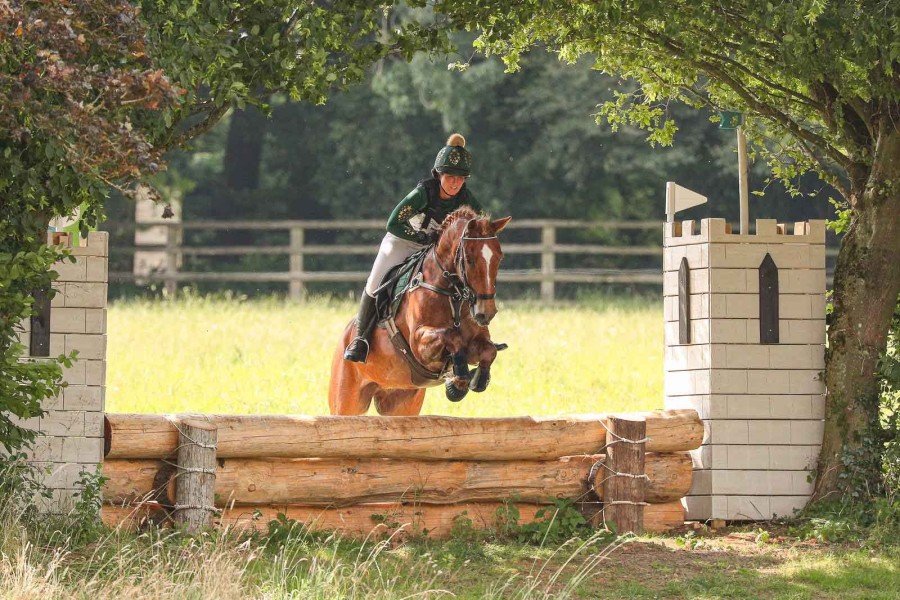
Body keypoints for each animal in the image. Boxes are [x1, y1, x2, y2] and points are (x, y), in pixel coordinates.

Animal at [330, 209, 512, 414]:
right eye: (470, 260)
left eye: (499, 258)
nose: (485, 313)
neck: (452, 295)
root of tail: (345, 336)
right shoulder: (419, 344)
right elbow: (452, 337)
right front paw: (458, 381)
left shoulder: (477, 341)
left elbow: (489, 350)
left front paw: (477, 379)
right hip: (346, 402)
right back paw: (355, 348)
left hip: (402, 402)